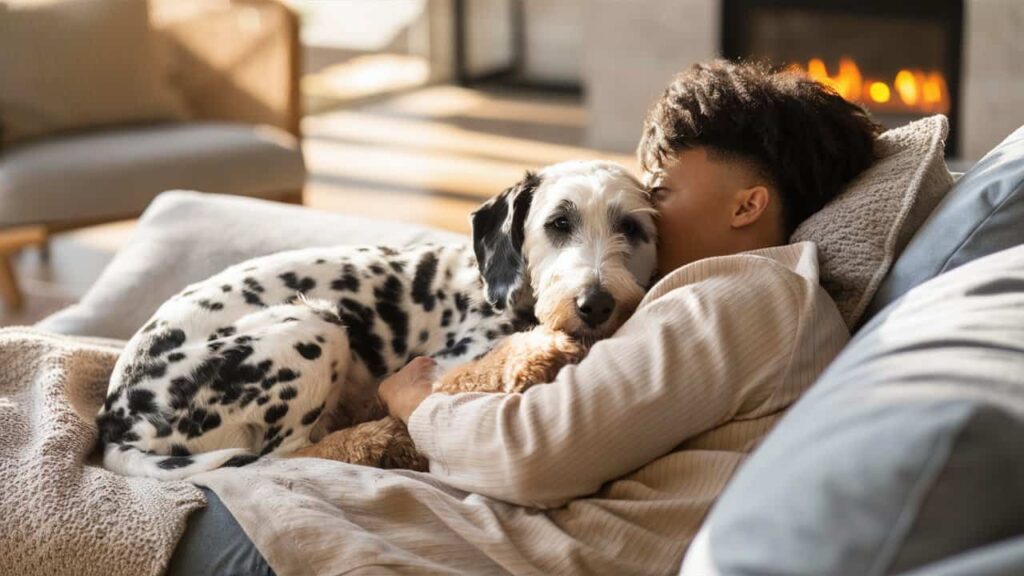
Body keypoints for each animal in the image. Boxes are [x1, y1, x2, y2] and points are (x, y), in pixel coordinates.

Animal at [96, 158, 655, 477]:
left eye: (631, 227)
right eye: (557, 223)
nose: (595, 303)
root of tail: (114, 417)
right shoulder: (448, 362)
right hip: (315, 327)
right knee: (289, 453)